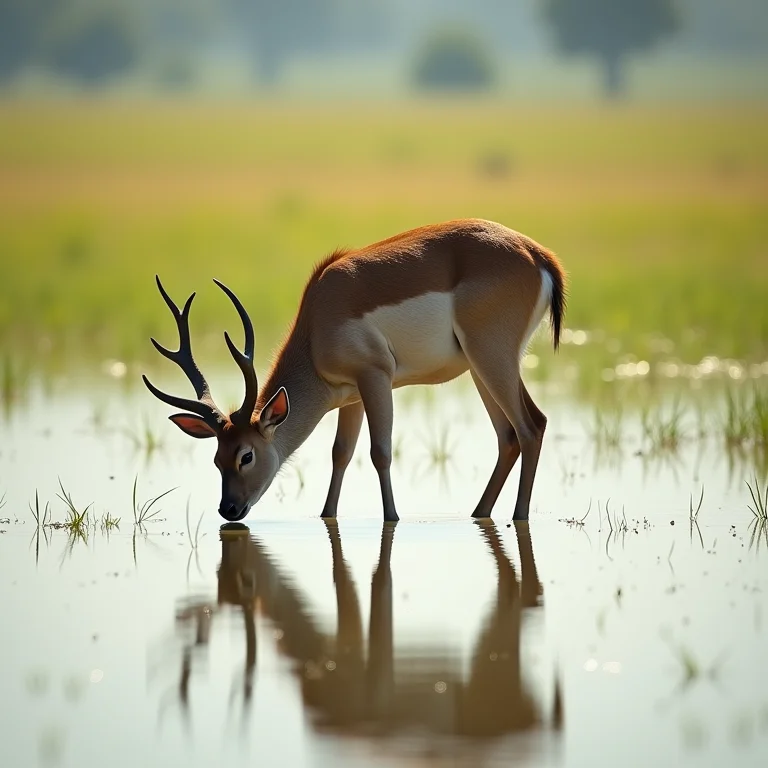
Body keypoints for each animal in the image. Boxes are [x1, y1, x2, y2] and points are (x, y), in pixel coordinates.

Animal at [143, 218, 567, 522]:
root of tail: (537, 254)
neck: (317, 324)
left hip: (491, 358)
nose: (228, 510)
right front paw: (326, 515)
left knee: (531, 427)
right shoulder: (351, 396)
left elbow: (380, 451)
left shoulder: (375, 377)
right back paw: (479, 514)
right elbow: (341, 453)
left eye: (246, 455)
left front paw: (392, 518)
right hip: (483, 368)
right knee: (510, 435)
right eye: (217, 458)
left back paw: (519, 517)